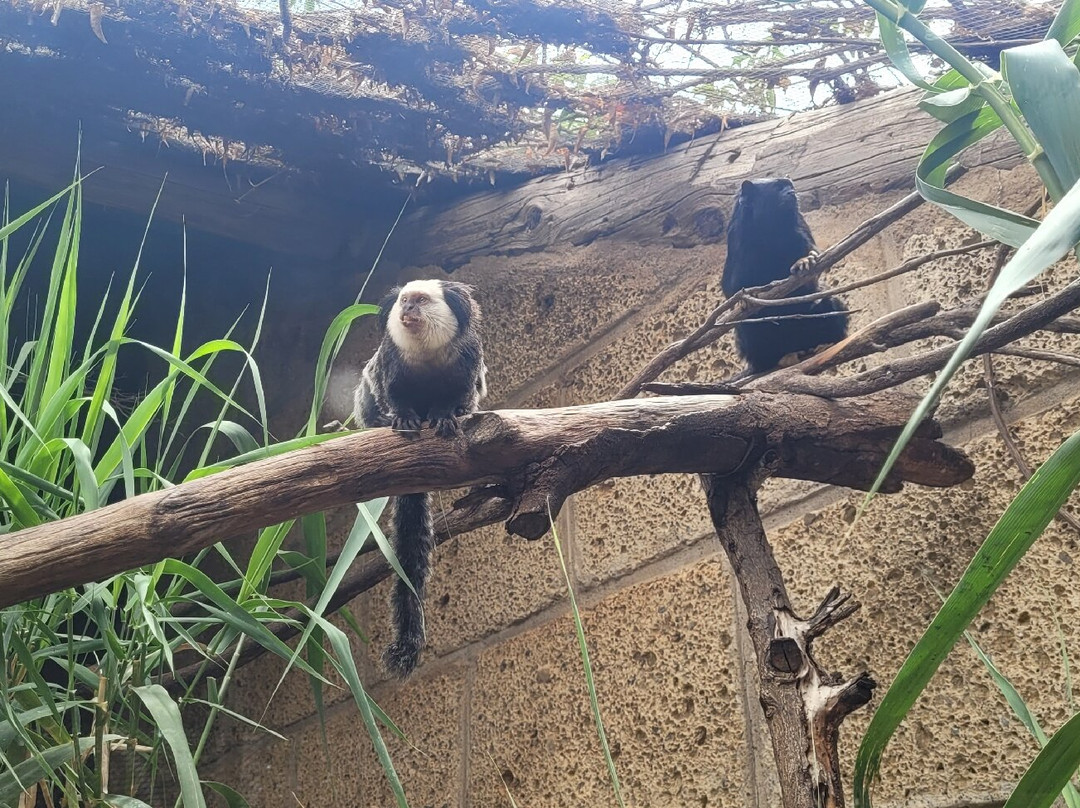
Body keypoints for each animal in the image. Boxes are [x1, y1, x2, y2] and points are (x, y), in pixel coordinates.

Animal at [353, 279, 487, 678]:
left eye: (422, 301)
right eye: (403, 301)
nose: (407, 311)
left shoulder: (468, 360)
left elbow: (462, 396)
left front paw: (445, 415)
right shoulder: (390, 362)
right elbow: (389, 392)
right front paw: (402, 417)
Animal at [722, 177, 849, 374]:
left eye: (790, 185)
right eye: (778, 187)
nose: (792, 192)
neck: (771, 233)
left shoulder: (800, 228)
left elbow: (812, 281)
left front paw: (804, 261)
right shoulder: (737, 240)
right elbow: (731, 290)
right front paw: (749, 296)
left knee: (828, 301)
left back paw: (823, 344)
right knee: (748, 325)